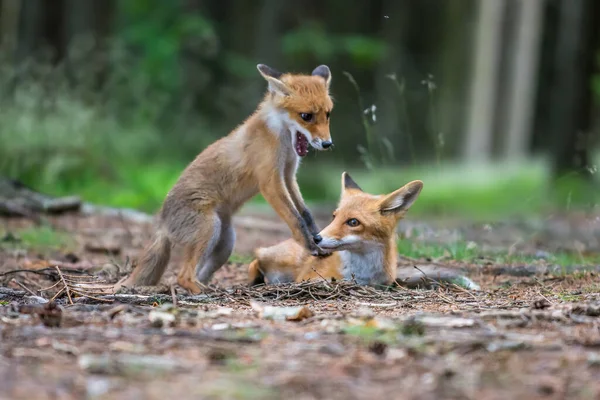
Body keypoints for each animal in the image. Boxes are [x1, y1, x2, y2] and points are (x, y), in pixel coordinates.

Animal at [115, 63, 336, 294]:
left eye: (328, 114)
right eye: (306, 116)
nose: (328, 144)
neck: (281, 139)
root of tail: (162, 221)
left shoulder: (289, 175)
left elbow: (306, 213)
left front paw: (318, 238)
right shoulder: (270, 181)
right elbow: (296, 219)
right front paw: (310, 247)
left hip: (225, 244)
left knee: (196, 273)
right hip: (209, 229)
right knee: (182, 277)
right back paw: (204, 292)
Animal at [246, 172, 424, 288]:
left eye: (353, 222)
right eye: (334, 216)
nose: (316, 238)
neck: (363, 272)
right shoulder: (308, 278)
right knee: (257, 259)